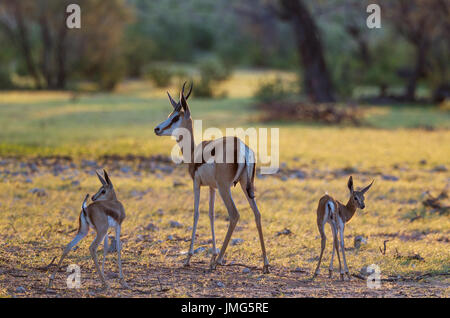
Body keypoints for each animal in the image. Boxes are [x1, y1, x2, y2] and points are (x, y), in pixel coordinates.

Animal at [153, 82, 268, 274]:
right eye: (170, 115)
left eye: (175, 117)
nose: (157, 129)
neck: (194, 152)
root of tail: (243, 148)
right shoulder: (212, 188)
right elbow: (211, 215)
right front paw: (211, 255)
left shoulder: (196, 184)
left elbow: (196, 214)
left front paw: (189, 258)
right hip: (245, 186)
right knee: (257, 214)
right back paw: (265, 264)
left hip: (225, 188)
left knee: (234, 214)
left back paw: (219, 261)